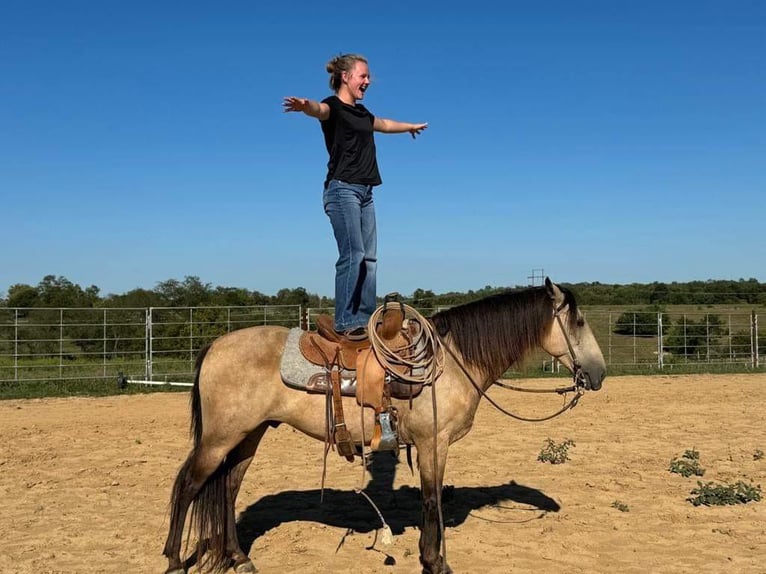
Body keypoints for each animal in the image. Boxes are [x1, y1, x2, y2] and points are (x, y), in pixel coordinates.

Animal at [162, 278, 606, 574]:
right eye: (579, 321)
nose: (599, 373)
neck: (452, 360)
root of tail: (216, 345)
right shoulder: (433, 443)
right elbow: (432, 500)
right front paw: (435, 562)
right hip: (219, 438)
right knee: (188, 485)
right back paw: (173, 560)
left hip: (248, 435)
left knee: (227, 488)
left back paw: (239, 558)